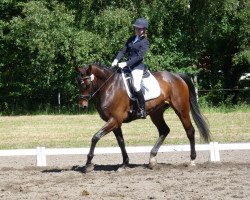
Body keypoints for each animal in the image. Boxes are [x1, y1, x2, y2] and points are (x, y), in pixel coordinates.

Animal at [76, 63, 211, 172]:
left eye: (87, 83)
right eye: (78, 83)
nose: (82, 105)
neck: (109, 86)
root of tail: (176, 76)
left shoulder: (114, 120)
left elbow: (96, 137)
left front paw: (88, 164)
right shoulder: (116, 122)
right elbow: (121, 142)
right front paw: (124, 164)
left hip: (181, 110)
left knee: (190, 131)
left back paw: (192, 160)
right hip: (156, 113)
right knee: (164, 130)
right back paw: (152, 159)